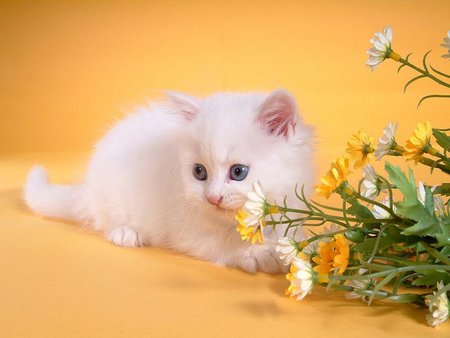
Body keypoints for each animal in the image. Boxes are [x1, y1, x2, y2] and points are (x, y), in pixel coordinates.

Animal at [23, 90, 312, 274]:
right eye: (199, 172)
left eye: (238, 172)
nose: (213, 197)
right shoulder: (188, 231)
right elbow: (225, 243)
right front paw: (259, 253)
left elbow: (292, 237)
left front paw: (296, 250)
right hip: (111, 196)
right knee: (104, 220)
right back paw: (126, 232)